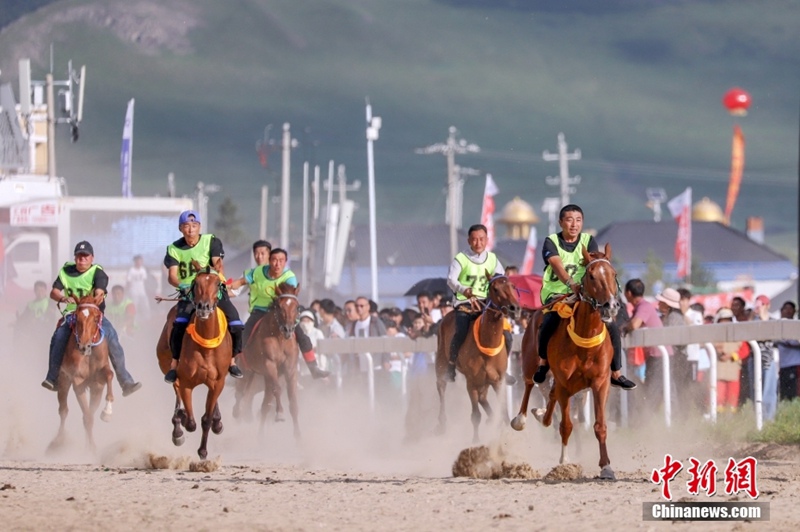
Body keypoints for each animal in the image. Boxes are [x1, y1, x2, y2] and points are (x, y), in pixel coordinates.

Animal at [49, 294, 115, 450]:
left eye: (96, 318)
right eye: (77, 318)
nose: (83, 346)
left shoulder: (98, 383)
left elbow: (109, 375)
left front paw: (107, 412)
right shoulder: (77, 380)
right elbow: (87, 416)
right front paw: (91, 449)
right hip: (63, 380)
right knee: (63, 410)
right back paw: (58, 442)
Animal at [155, 264, 231, 460]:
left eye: (217, 283)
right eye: (196, 283)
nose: (203, 307)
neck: (206, 348)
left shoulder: (218, 382)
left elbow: (206, 419)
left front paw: (203, 450)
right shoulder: (186, 383)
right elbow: (190, 422)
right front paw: (181, 421)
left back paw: (217, 422)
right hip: (167, 365)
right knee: (175, 389)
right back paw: (177, 425)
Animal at [234, 282, 304, 436]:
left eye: (297, 307)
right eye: (279, 306)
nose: (288, 329)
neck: (279, 338)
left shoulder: (290, 369)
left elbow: (293, 402)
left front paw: (298, 436)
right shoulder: (269, 365)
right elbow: (277, 389)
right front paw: (280, 414)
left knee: (264, 404)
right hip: (246, 371)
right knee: (240, 393)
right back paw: (237, 412)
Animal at [434, 272, 520, 442]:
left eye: (512, 286)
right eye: (495, 288)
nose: (514, 308)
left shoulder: (497, 380)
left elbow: (503, 412)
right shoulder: (472, 382)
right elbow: (475, 416)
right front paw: (476, 441)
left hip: (485, 381)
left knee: (483, 398)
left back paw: (492, 419)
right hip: (442, 363)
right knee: (441, 386)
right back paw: (442, 423)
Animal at [512, 243, 620, 480]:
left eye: (613, 274)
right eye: (591, 275)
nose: (610, 305)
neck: (585, 341)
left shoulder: (600, 383)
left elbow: (599, 425)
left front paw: (606, 467)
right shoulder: (565, 384)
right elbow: (566, 425)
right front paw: (564, 461)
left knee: (549, 401)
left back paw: (540, 414)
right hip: (531, 362)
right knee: (529, 384)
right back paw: (520, 419)